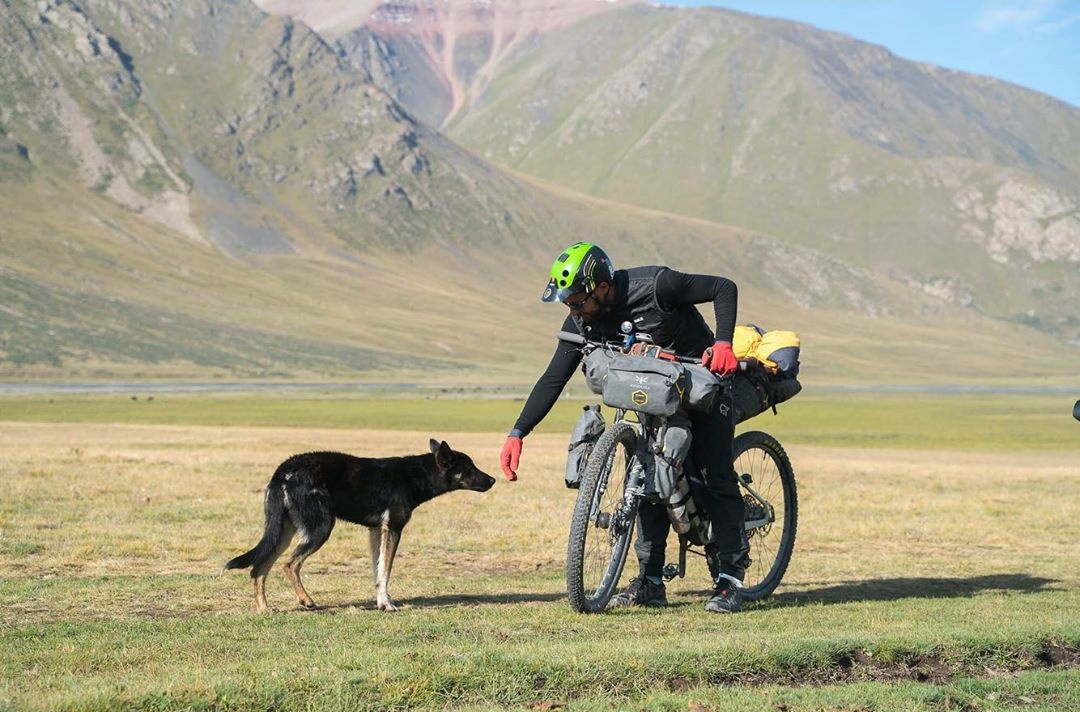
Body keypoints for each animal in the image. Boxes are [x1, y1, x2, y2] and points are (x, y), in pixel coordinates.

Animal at [230, 440, 498, 613]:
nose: (493, 479)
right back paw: (306, 601)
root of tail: (282, 472)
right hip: (320, 528)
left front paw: (381, 601)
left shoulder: (376, 531)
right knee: (289, 564)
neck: (415, 476)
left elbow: (378, 570)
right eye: (470, 467)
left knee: (258, 569)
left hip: (283, 532)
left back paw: (264, 609)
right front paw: (387, 604)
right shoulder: (393, 529)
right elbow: (386, 570)